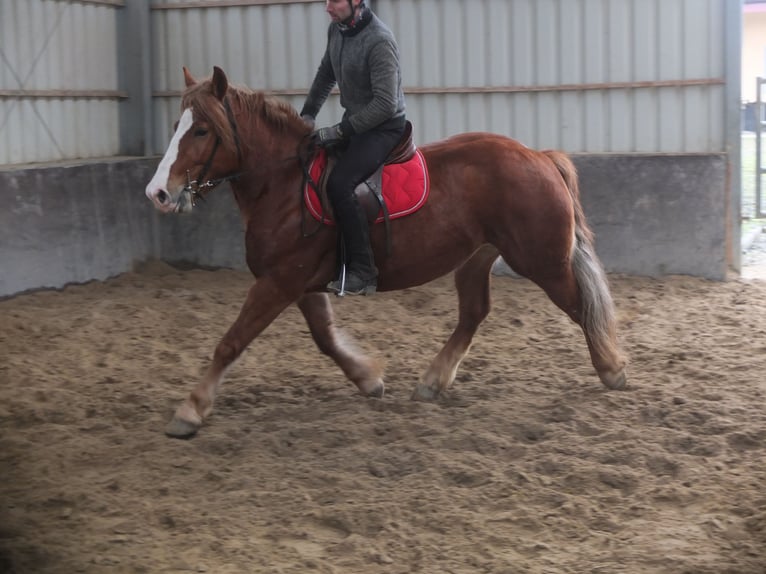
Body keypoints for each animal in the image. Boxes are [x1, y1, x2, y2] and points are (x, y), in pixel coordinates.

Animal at [147, 65, 628, 438]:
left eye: (201, 130)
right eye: (174, 128)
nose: (158, 193)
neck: (283, 184)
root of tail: (539, 156)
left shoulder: (279, 282)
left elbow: (231, 342)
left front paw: (190, 410)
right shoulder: (299, 284)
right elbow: (324, 338)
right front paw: (368, 380)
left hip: (541, 262)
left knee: (580, 305)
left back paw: (611, 368)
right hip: (477, 257)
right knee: (475, 312)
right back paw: (432, 381)